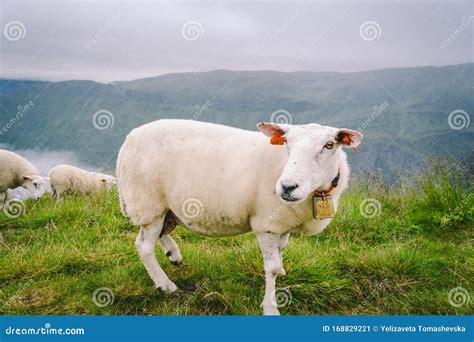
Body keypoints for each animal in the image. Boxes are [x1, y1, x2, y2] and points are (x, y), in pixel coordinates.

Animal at [116, 119, 362, 316]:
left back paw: (173, 255)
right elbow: (271, 268)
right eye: (286, 143)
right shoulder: (266, 224)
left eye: (329, 145)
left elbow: (281, 251)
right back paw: (166, 285)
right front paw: (270, 307)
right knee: (144, 245)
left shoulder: (281, 224)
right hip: (148, 202)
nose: (287, 187)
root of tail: (129, 138)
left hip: (165, 208)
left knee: (159, 234)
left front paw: (282, 272)